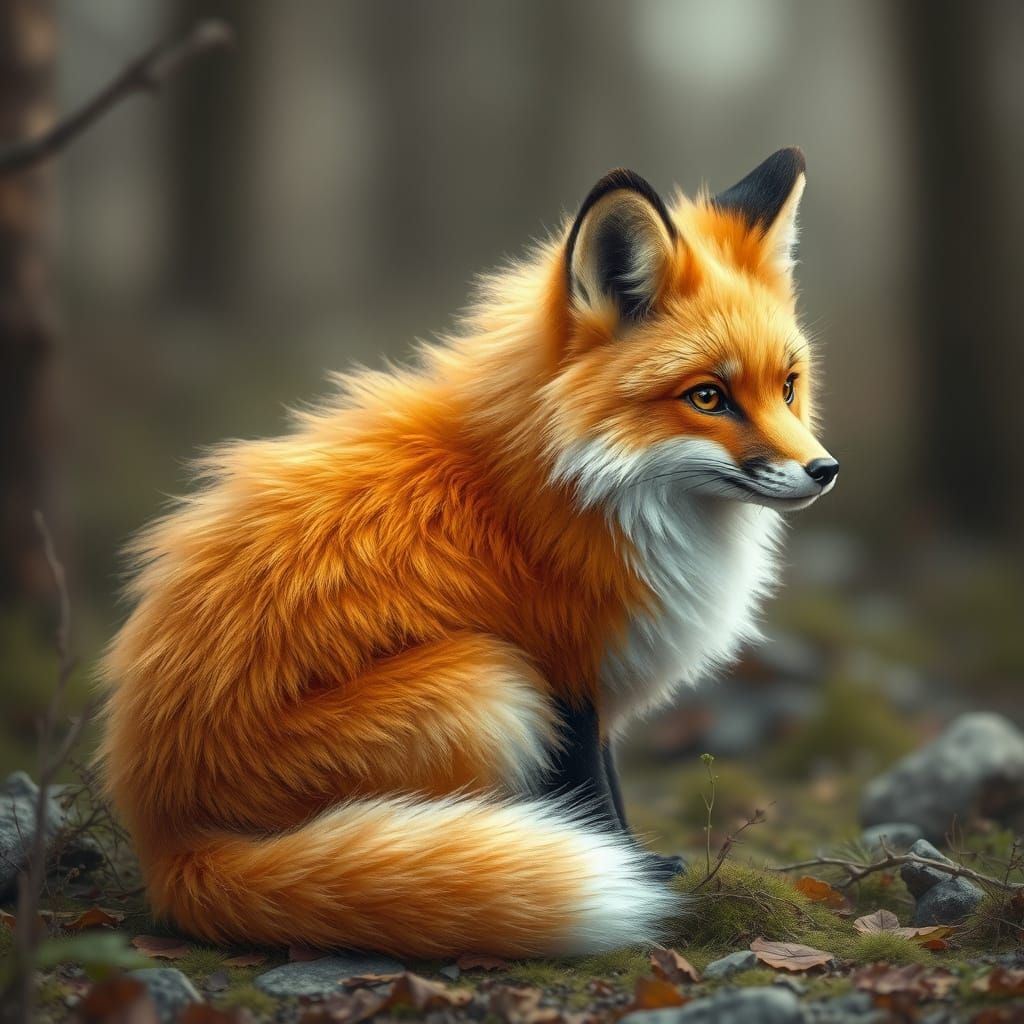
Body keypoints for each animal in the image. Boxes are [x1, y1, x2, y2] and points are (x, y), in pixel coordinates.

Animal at [101, 147, 838, 960]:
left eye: (788, 387)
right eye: (708, 397)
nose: (824, 470)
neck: (569, 486)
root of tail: (164, 839)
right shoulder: (563, 673)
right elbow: (598, 799)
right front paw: (633, 870)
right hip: (486, 683)